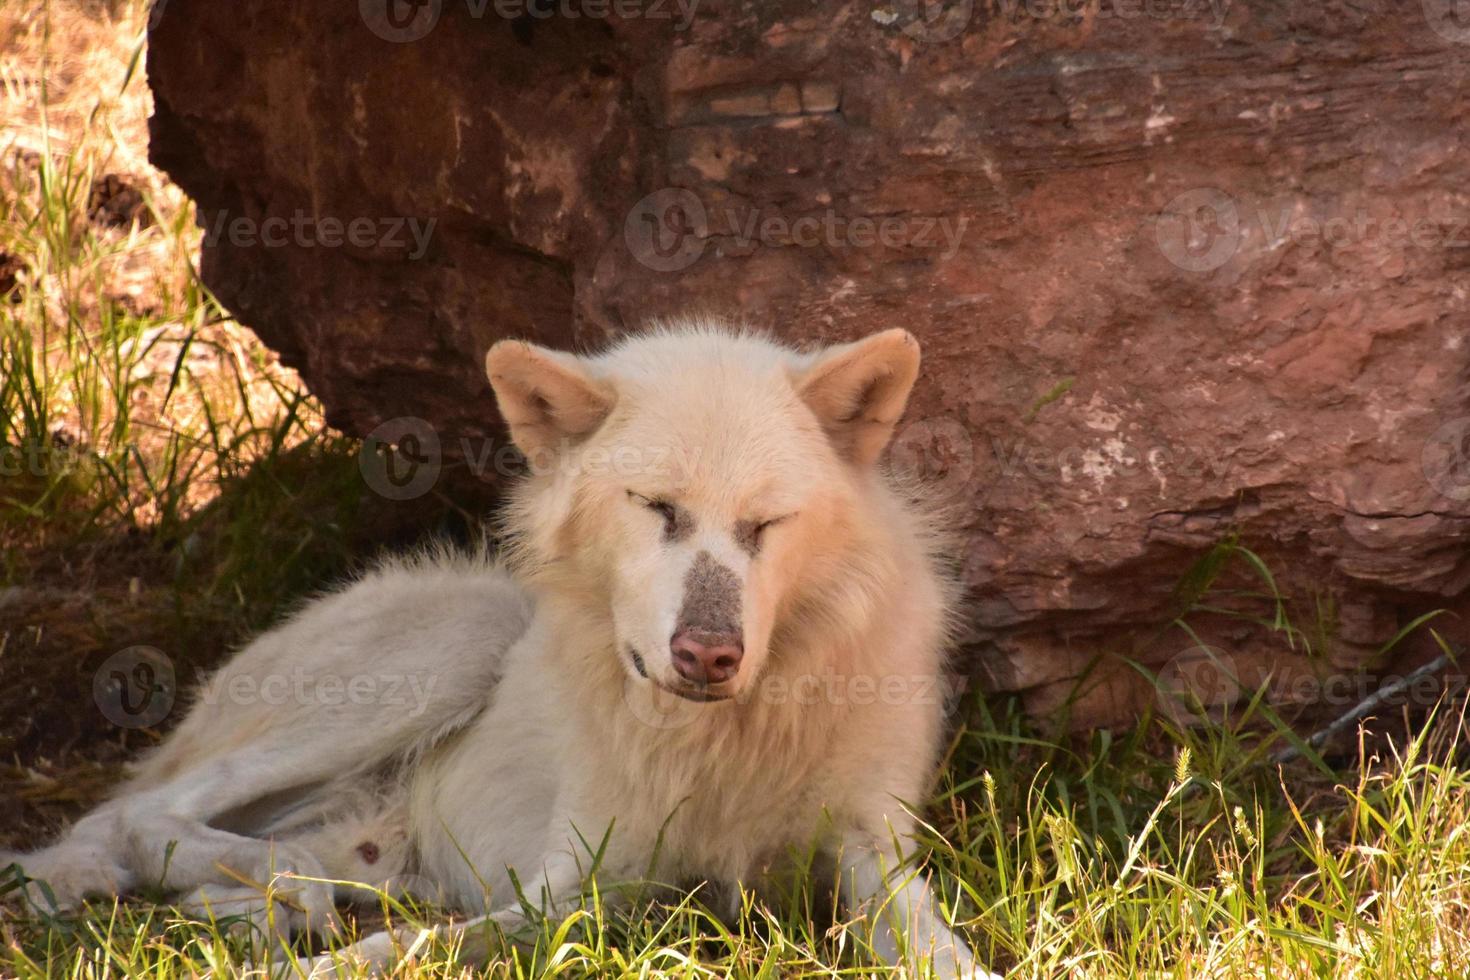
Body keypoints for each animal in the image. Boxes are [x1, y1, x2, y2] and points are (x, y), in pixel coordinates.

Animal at [2, 323, 999, 980]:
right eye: (657, 508)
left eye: (766, 524)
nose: (709, 656)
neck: (725, 743)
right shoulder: (576, 883)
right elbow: (407, 950)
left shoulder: (872, 853)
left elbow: (938, 943)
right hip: (463, 636)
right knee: (140, 815)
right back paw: (286, 896)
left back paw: (281, 896)